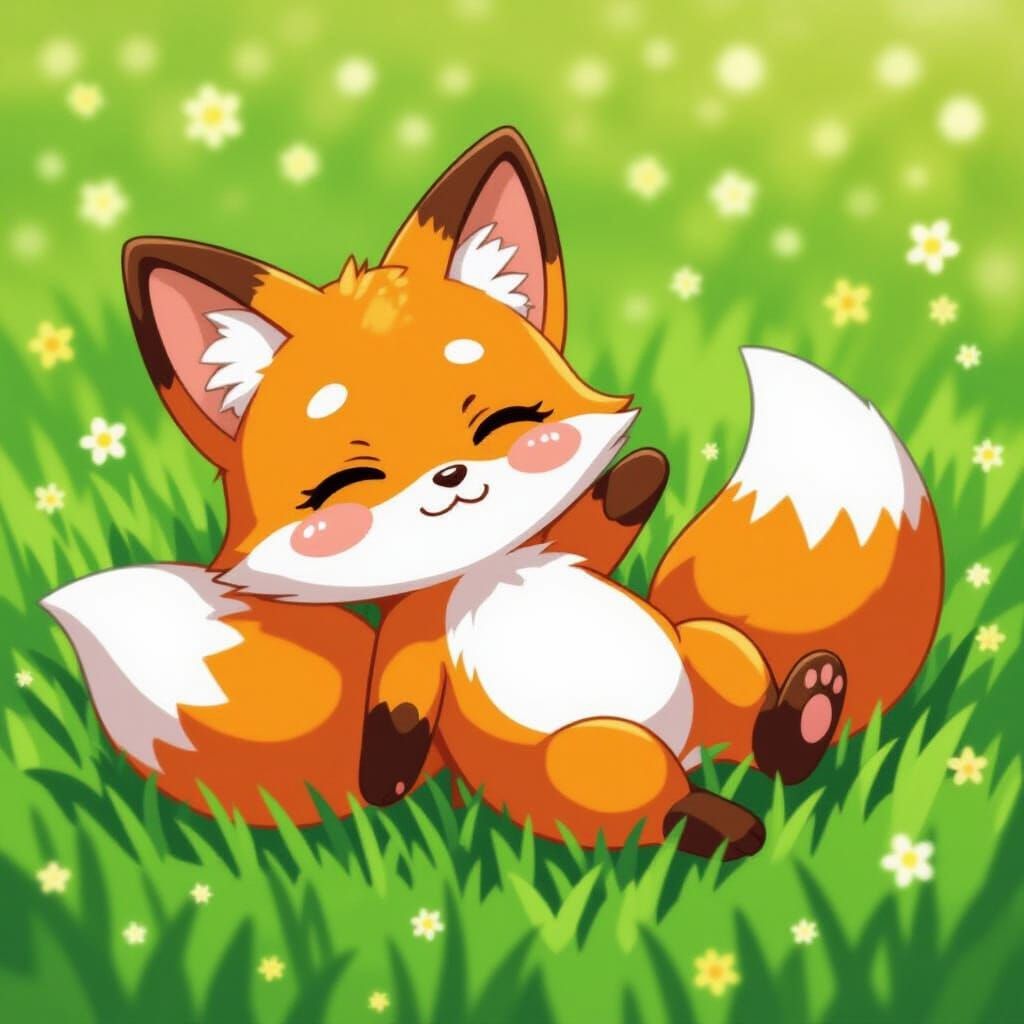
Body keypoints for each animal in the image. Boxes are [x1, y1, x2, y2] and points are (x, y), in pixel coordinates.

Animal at [42, 127, 942, 857]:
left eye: (505, 423)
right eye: (346, 485)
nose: (452, 478)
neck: (486, 572)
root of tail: (685, 750)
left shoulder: (562, 545)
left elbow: (601, 522)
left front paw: (640, 472)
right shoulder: (416, 636)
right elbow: (397, 708)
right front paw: (385, 776)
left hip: (710, 657)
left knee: (753, 722)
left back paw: (808, 711)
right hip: (588, 762)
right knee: (659, 807)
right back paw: (719, 820)